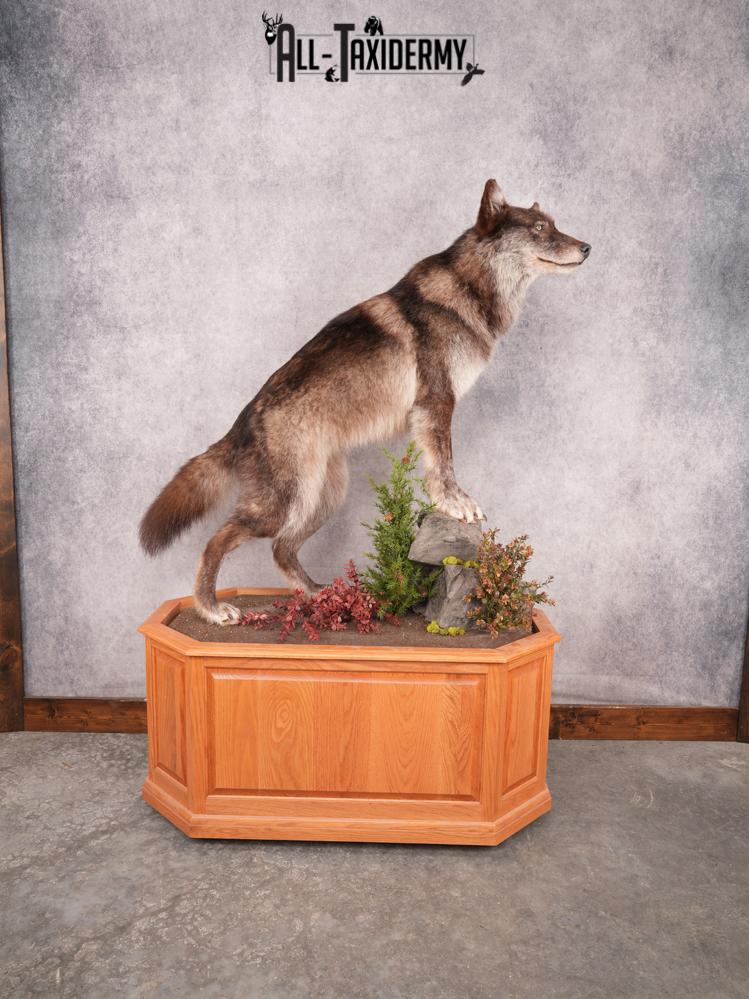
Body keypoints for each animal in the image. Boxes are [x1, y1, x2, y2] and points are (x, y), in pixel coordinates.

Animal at [140, 180, 590, 624]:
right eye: (539, 229)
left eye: (554, 225)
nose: (587, 247)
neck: (468, 290)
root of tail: (243, 422)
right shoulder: (436, 402)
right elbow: (443, 465)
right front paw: (455, 503)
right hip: (283, 506)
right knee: (217, 542)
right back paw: (211, 609)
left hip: (322, 499)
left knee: (281, 549)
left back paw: (317, 595)